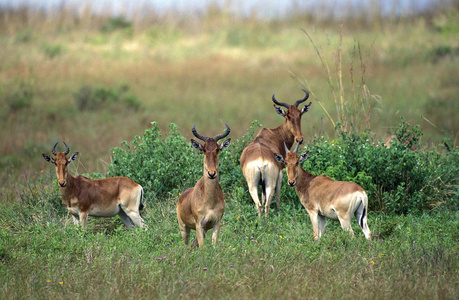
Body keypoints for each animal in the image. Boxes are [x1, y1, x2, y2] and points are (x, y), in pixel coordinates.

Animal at [241, 88, 312, 217]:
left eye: (299, 114)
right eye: (288, 116)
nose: (299, 139)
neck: (274, 134)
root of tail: (260, 161)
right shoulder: (280, 174)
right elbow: (278, 197)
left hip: (253, 184)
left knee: (260, 204)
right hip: (270, 182)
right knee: (267, 203)